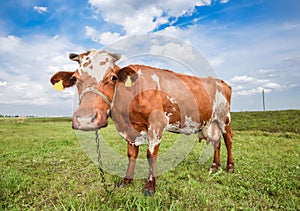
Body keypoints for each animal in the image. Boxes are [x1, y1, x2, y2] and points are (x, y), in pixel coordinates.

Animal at [50, 49, 234, 196]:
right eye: (75, 79)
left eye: (112, 78)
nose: (85, 120)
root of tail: (220, 81)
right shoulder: (130, 131)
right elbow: (132, 155)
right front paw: (126, 181)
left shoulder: (157, 124)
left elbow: (150, 156)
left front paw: (150, 187)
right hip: (211, 122)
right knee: (216, 141)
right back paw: (214, 166)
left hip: (223, 117)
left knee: (228, 139)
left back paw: (229, 167)